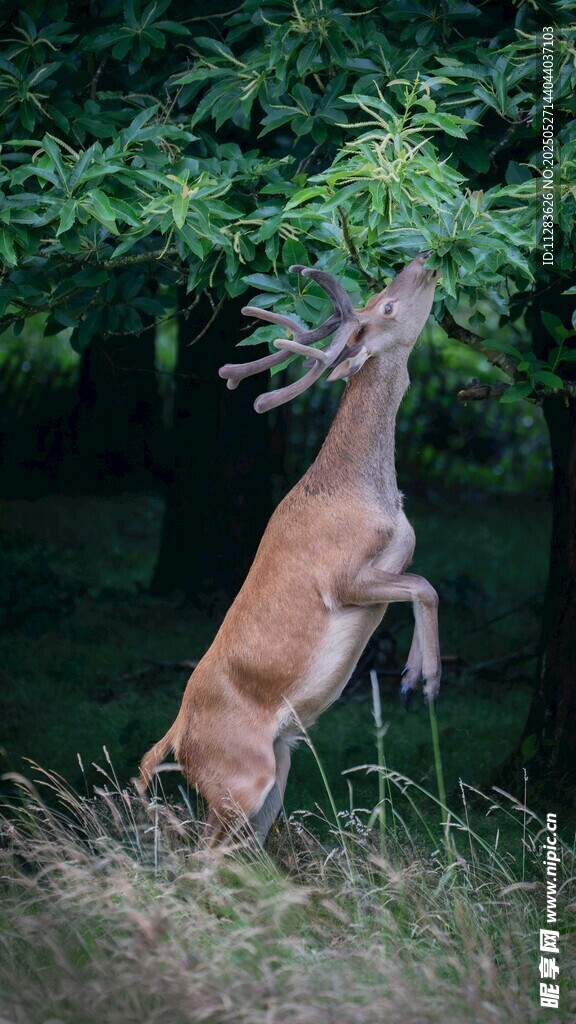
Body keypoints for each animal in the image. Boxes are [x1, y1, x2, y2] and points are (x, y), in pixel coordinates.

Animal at [138, 251, 441, 843]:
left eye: (380, 293)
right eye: (388, 307)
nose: (425, 258)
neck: (364, 493)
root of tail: (177, 736)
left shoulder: (397, 559)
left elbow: (421, 586)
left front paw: (412, 675)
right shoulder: (343, 576)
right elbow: (427, 585)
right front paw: (429, 681)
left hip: (274, 774)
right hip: (238, 778)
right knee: (199, 854)